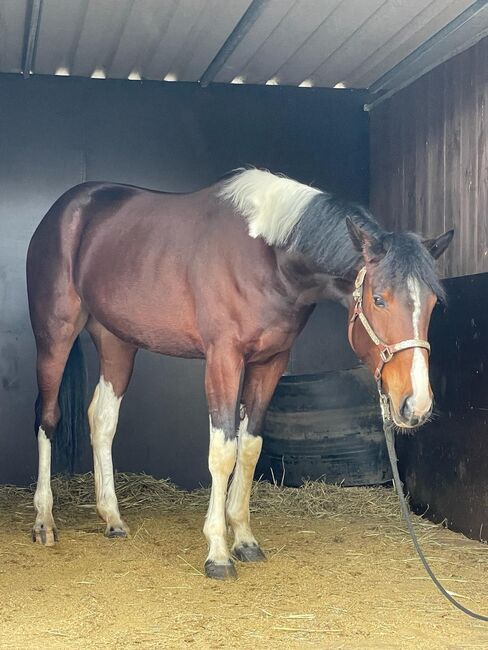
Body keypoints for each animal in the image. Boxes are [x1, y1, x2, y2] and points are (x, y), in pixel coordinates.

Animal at [27, 167, 454, 576]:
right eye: (379, 299)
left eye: (434, 303)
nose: (415, 404)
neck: (266, 257)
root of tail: (66, 209)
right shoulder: (224, 358)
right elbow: (223, 450)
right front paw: (217, 552)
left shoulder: (270, 362)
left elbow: (249, 448)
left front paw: (244, 539)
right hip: (55, 334)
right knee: (48, 417)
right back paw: (44, 520)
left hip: (117, 342)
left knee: (102, 420)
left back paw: (112, 518)